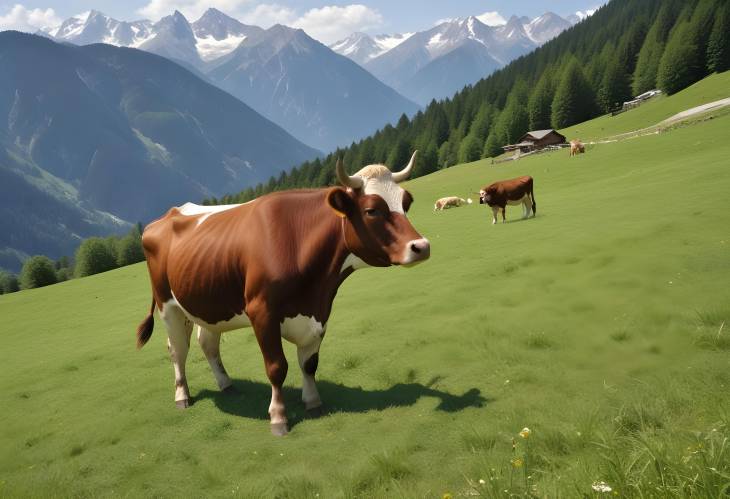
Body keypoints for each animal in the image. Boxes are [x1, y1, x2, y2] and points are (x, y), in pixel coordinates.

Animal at [135, 153, 426, 438]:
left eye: (406, 203)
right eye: (372, 210)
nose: (422, 246)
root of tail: (166, 215)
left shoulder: (319, 312)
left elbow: (309, 363)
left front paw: (313, 401)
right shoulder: (261, 312)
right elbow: (277, 367)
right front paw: (278, 417)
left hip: (206, 303)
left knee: (207, 343)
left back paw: (226, 383)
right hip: (168, 305)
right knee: (177, 350)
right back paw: (182, 395)